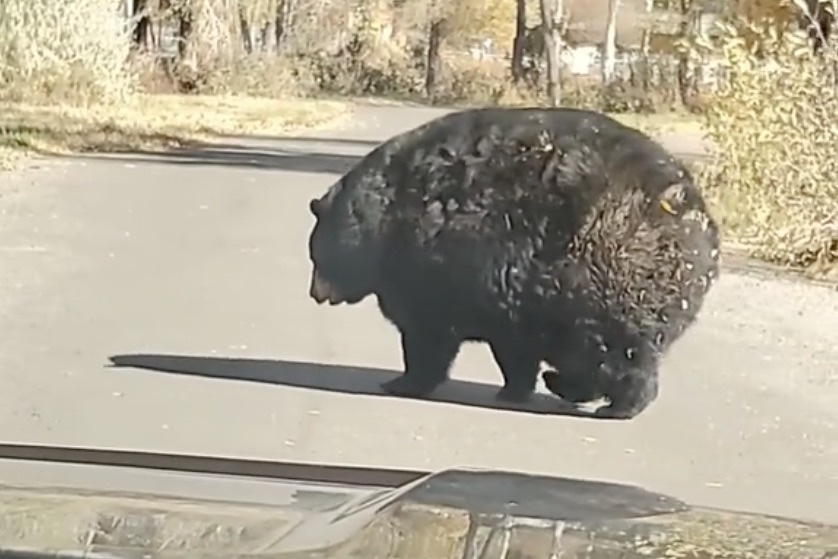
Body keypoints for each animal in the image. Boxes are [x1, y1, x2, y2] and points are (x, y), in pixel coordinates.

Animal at [306, 107, 720, 420]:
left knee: (612, 351)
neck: (378, 219)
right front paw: (515, 388)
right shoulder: (511, 298)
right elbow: (514, 348)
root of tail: (688, 211)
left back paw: (615, 404)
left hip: (603, 274)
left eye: (315, 254)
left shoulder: (433, 269)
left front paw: (403, 381)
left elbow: (428, 334)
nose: (314, 293)